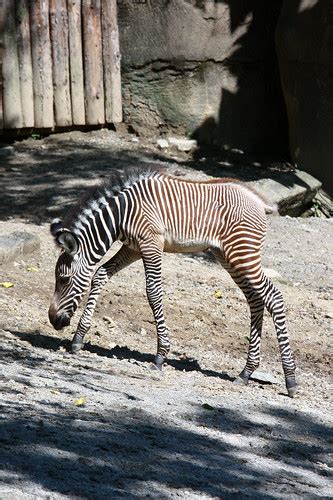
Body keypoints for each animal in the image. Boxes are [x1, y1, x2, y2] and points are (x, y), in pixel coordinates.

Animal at [47, 170, 296, 396]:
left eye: (64, 279)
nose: (53, 320)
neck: (121, 214)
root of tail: (259, 201)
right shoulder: (132, 248)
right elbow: (100, 274)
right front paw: (78, 339)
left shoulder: (150, 244)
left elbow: (153, 292)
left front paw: (160, 356)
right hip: (228, 255)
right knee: (256, 300)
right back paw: (246, 372)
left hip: (243, 254)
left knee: (274, 297)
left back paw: (290, 380)